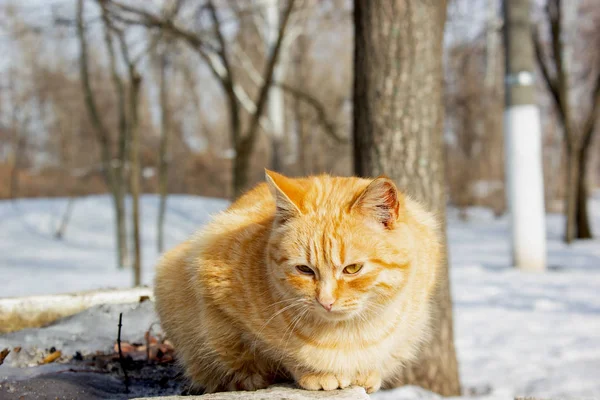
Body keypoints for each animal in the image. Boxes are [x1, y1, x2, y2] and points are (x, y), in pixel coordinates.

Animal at [155, 170, 440, 394]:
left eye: (352, 269)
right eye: (304, 269)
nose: (326, 301)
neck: (348, 333)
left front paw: (367, 372)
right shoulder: (212, 295)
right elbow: (269, 352)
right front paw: (316, 373)